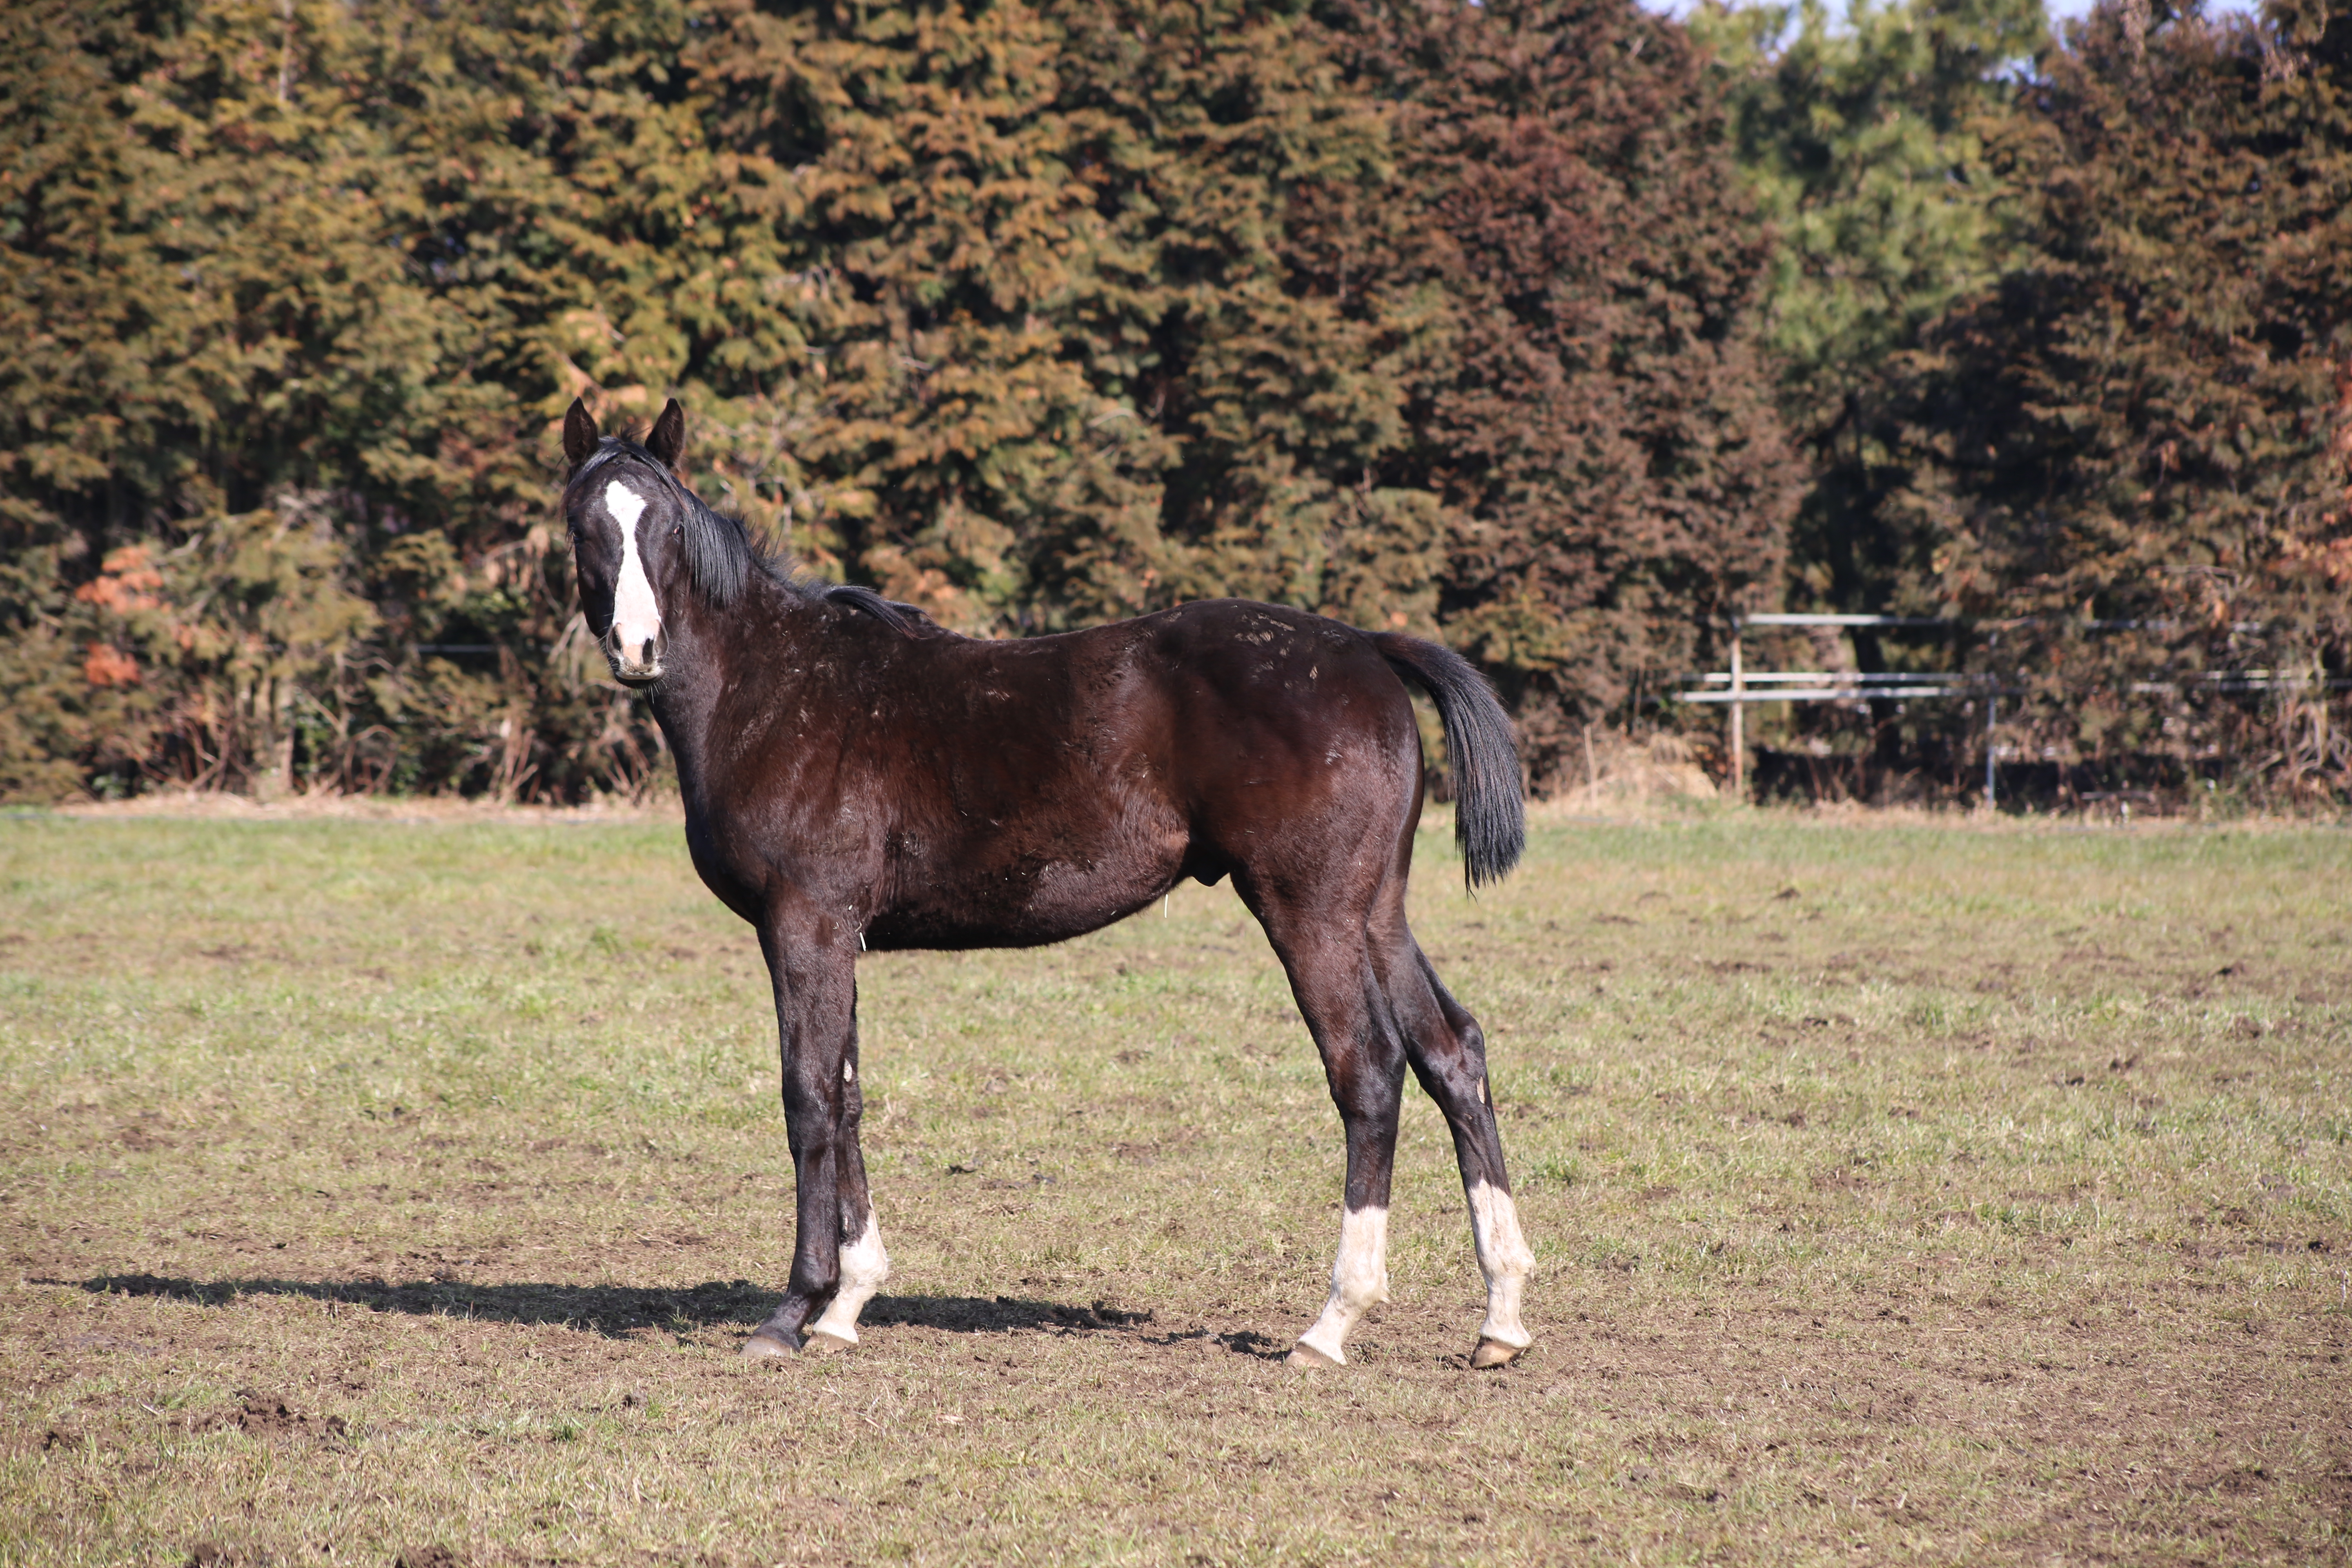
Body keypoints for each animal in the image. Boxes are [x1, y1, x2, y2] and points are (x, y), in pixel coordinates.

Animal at [559, 399, 1533, 1363]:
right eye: (583, 526)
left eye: (668, 527)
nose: (638, 647)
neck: (775, 688)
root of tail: (1367, 647)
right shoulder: (839, 935)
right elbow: (848, 1098)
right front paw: (848, 1305)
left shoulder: (805, 925)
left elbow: (809, 1100)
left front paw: (793, 1311)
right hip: (1375, 916)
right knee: (1451, 1052)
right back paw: (1501, 1317)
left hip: (1310, 914)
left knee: (1367, 1071)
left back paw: (1334, 1322)